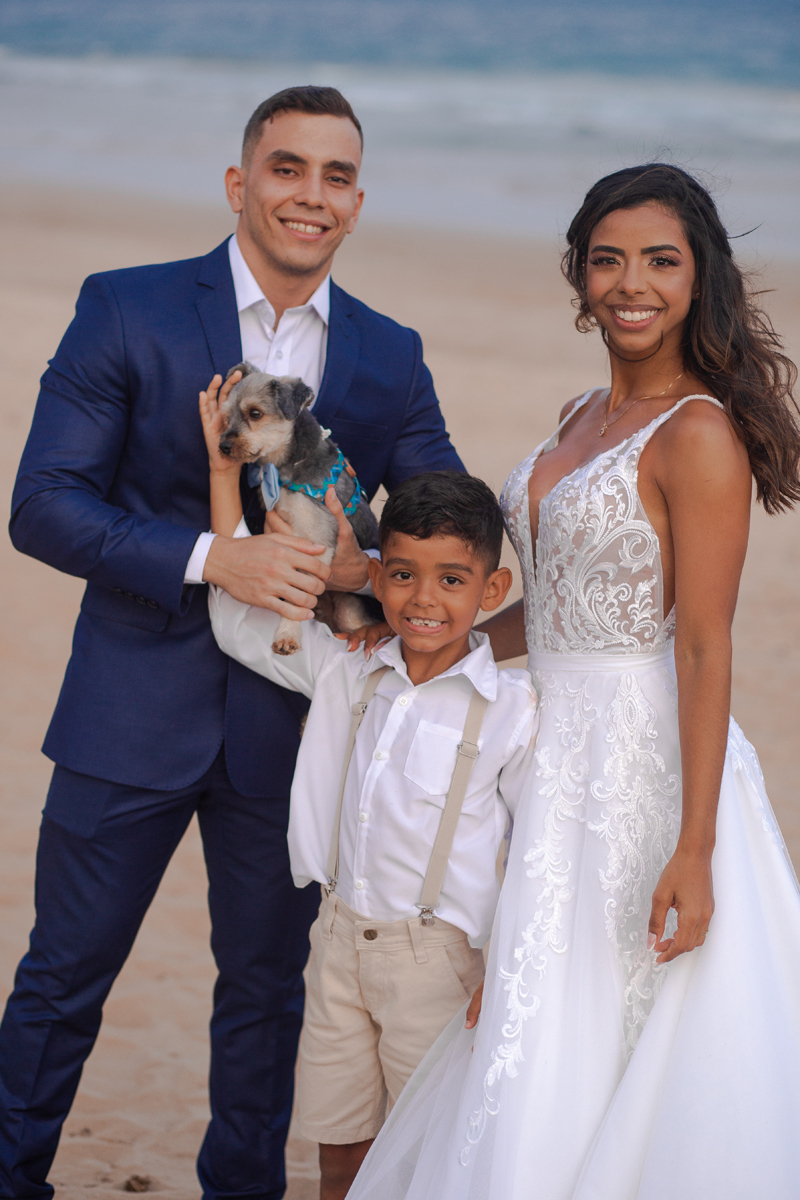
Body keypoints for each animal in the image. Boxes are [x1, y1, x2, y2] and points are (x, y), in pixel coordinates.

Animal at [218, 361, 382, 655]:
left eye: (255, 413)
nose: (223, 446)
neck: (288, 465)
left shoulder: (316, 542)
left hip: (351, 613)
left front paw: (287, 635)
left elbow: (297, 599)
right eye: (227, 418)